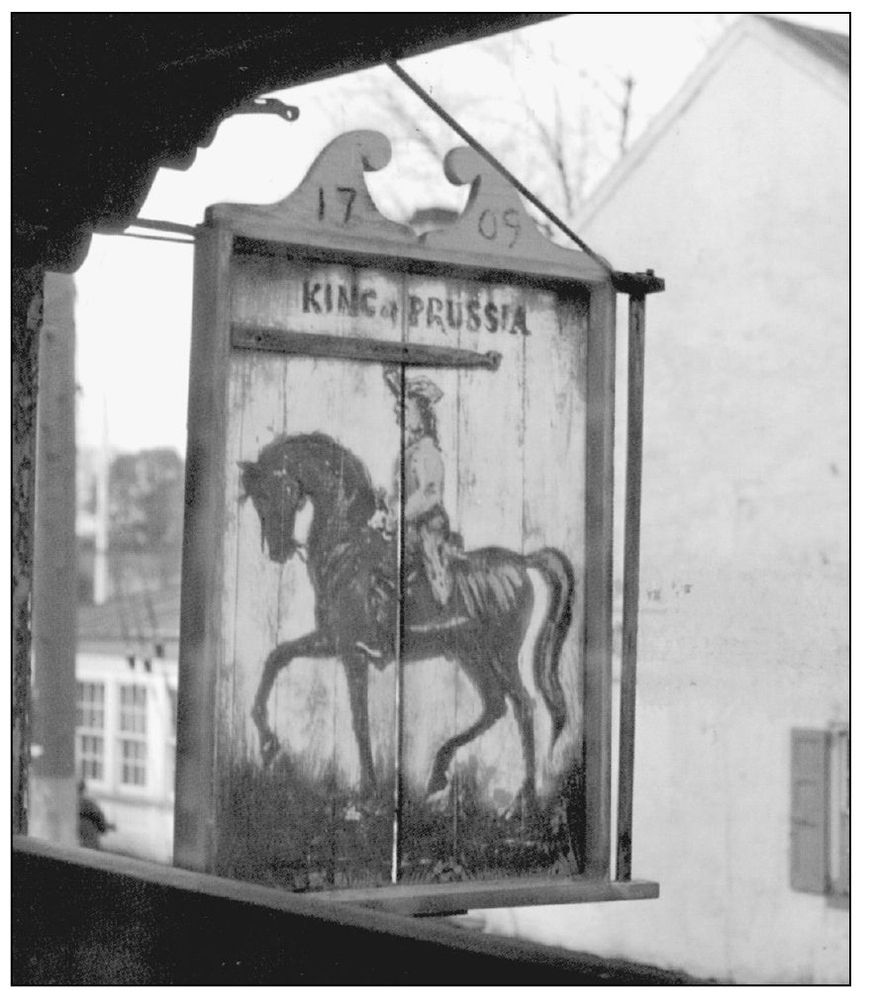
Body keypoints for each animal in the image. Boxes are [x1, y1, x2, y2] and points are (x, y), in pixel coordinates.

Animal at [243, 428, 578, 804]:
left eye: (275, 490)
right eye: (256, 498)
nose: (277, 550)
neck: (345, 549)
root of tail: (520, 561)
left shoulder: (351, 652)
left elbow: (359, 721)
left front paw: (368, 790)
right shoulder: (331, 641)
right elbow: (277, 656)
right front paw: (268, 743)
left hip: (500, 655)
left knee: (523, 706)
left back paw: (526, 796)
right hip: (471, 656)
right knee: (495, 706)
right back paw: (439, 773)